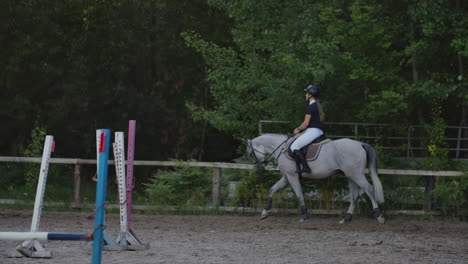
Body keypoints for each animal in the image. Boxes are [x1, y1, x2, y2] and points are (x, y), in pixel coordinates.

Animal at [243, 134, 386, 223]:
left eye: (251, 154)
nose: (259, 170)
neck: (281, 149)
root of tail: (360, 144)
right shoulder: (286, 177)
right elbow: (272, 189)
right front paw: (265, 212)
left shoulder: (292, 176)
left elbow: (299, 194)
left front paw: (304, 215)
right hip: (350, 175)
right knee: (355, 195)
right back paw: (347, 218)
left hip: (357, 175)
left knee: (369, 189)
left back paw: (378, 215)